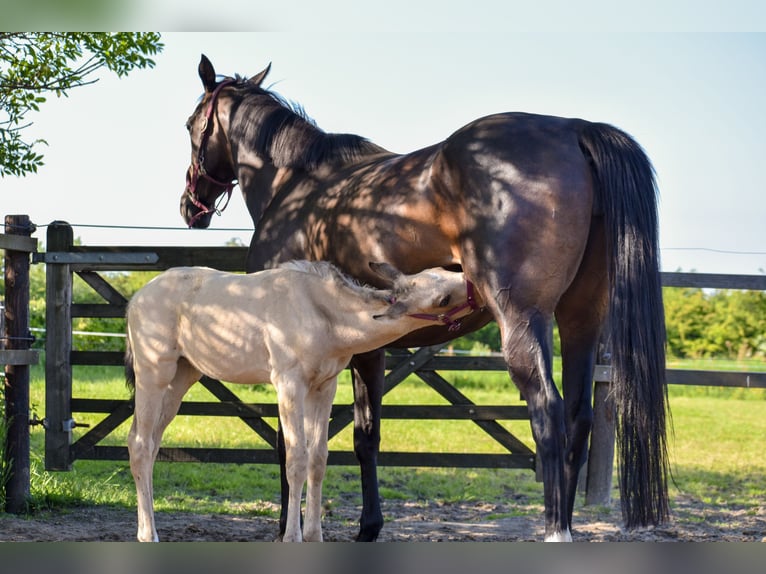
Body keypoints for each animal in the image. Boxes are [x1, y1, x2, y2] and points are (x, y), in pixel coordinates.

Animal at [180, 55, 672, 544]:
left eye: (190, 125)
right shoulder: (367, 350)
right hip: (580, 321)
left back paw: (556, 530)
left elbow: (288, 444)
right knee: (577, 417)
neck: (296, 187)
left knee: (548, 413)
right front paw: (368, 526)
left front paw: (287, 525)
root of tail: (574, 128)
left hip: (522, 321)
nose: (190, 207)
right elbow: (365, 437)